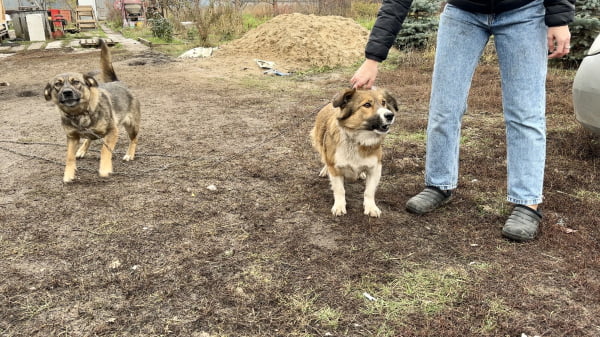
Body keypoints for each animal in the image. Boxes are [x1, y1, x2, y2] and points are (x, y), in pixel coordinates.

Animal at [44, 38, 141, 182]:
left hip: (132, 126)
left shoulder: (112, 131)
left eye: (76, 82)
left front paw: (105, 168)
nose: (67, 92)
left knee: (133, 140)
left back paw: (129, 154)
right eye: (57, 84)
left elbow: (104, 150)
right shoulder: (72, 137)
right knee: (89, 138)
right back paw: (82, 150)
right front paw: (68, 174)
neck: (79, 113)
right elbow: (69, 157)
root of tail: (118, 82)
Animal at [310, 88, 398, 217]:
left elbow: (369, 191)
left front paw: (371, 207)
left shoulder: (375, 168)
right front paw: (339, 206)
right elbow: (340, 190)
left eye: (383, 102)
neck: (357, 139)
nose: (390, 115)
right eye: (367, 104)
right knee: (324, 158)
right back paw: (325, 170)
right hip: (319, 144)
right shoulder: (335, 168)